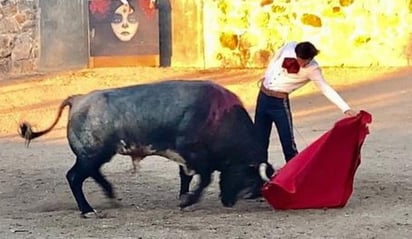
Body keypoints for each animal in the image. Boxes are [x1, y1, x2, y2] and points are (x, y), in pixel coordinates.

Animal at [18, 80, 274, 217]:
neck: (220, 117)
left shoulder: (188, 158)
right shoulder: (194, 154)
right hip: (92, 154)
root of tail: (78, 99)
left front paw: (184, 198)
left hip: (96, 155)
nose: (229, 202)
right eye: (248, 176)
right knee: (74, 177)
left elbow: (187, 177)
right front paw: (187, 201)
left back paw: (111, 196)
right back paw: (88, 210)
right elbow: (204, 179)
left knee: (91, 173)